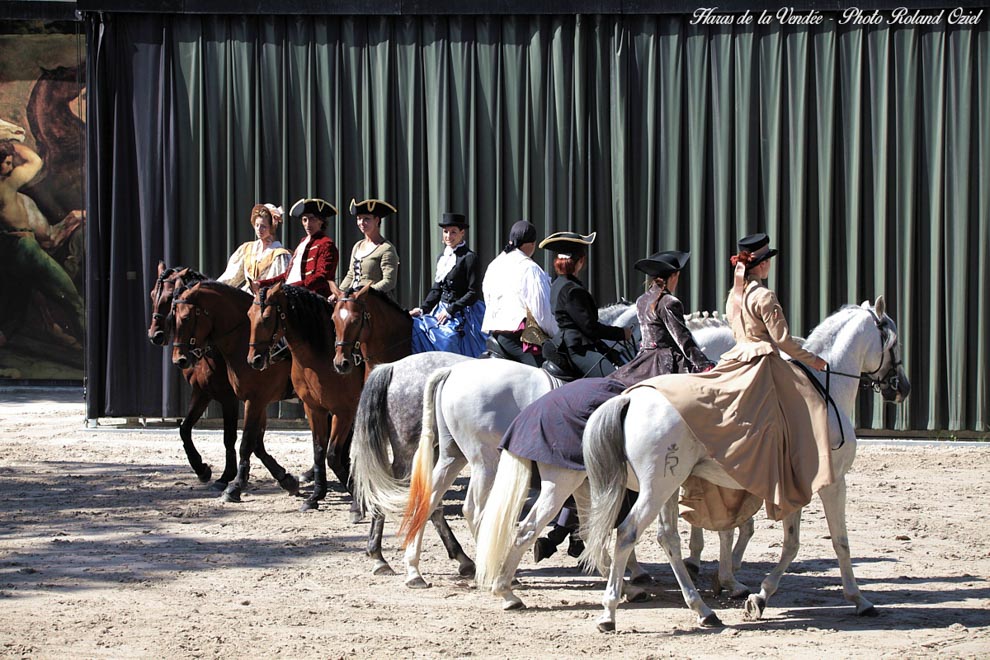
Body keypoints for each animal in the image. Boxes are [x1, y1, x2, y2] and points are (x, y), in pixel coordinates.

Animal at [147, 262, 240, 490]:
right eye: (153, 294)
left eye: (170, 298)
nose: (155, 335)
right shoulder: (202, 393)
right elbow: (184, 428)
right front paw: (201, 468)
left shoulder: (229, 398)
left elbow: (229, 437)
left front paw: (226, 476)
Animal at [171, 282, 302, 502]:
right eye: (173, 316)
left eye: (187, 317)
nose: (179, 360)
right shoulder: (207, 394)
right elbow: (255, 442)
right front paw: (285, 478)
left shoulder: (250, 400)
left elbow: (245, 441)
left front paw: (234, 485)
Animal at [247, 282, 364, 512]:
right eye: (249, 315)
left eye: (267, 318)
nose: (254, 360)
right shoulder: (313, 408)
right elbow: (319, 450)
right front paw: (316, 495)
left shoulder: (344, 412)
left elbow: (333, 454)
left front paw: (354, 491)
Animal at [400, 310, 732, 588]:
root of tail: (453, 372)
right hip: (485, 463)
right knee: (475, 510)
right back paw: (492, 569)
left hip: (453, 457)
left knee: (429, 502)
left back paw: (418, 570)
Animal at [580, 298, 916, 628]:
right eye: (894, 342)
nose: (903, 388)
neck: (824, 388)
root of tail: (629, 398)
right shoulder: (833, 483)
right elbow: (839, 542)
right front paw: (859, 600)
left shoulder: (794, 488)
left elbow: (789, 543)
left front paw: (759, 596)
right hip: (656, 490)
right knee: (627, 533)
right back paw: (610, 611)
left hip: (667, 488)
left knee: (667, 538)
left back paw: (702, 609)